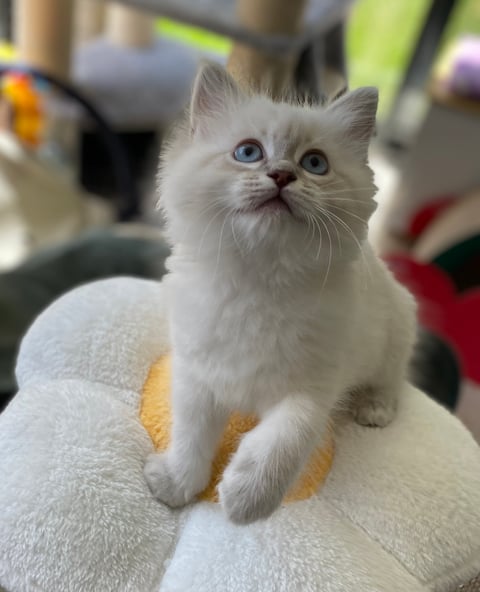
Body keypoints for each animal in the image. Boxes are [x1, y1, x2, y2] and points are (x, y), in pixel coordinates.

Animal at [143, 65, 416, 524]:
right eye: (248, 153)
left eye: (315, 164)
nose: (283, 175)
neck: (259, 282)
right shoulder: (197, 377)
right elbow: (190, 437)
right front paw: (177, 485)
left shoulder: (312, 387)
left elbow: (286, 437)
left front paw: (247, 499)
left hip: (397, 328)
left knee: (392, 380)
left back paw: (375, 408)